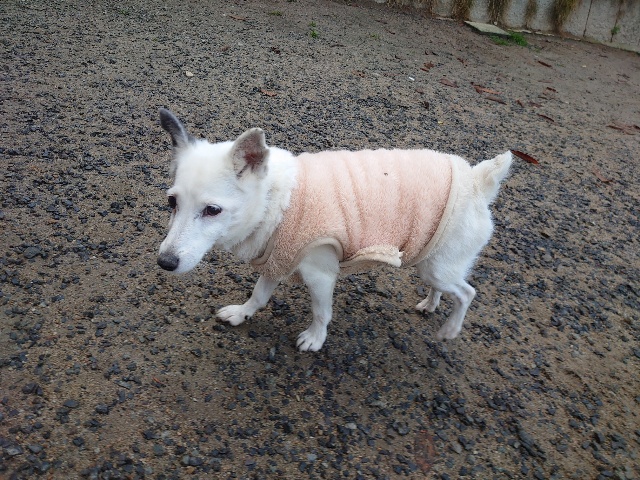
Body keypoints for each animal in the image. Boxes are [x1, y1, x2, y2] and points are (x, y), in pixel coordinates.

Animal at [157, 108, 512, 351]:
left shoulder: (320, 273)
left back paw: (450, 329)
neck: (278, 201)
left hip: (438, 267)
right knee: (443, 288)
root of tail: (477, 181)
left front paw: (315, 339)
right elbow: (258, 295)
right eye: (172, 202)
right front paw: (242, 314)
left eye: (212, 210)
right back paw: (431, 304)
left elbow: (321, 312)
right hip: (432, 262)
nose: (165, 262)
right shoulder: (278, 259)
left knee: (466, 293)